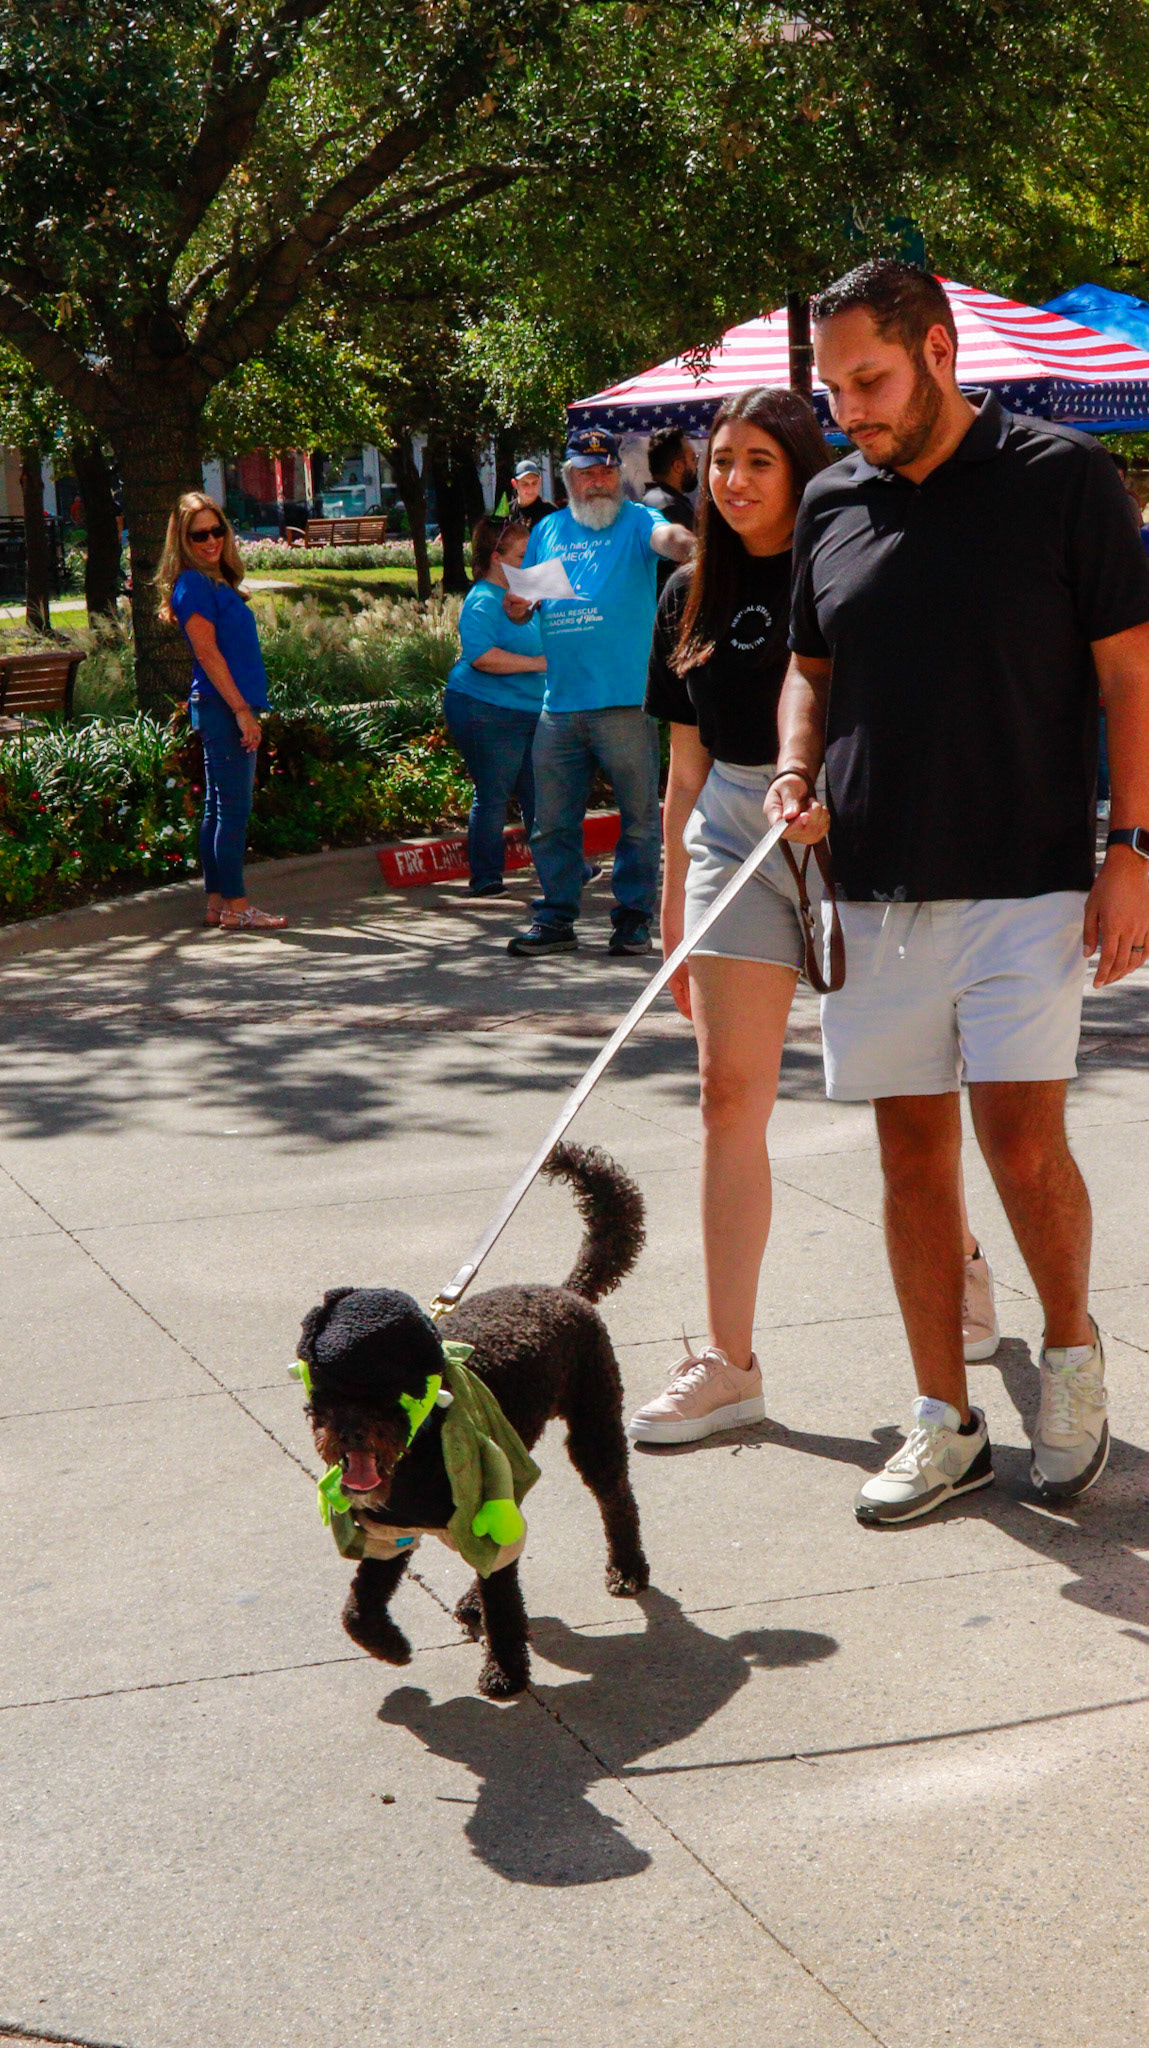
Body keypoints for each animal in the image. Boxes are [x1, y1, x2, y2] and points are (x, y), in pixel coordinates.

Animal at [297, 1142, 650, 1698]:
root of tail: (567, 1291)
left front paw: (504, 1670)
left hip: (592, 1427)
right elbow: (361, 1602)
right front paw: (388, 1644)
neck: (421, 1444)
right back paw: (469, 1600)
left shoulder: (480, 1506)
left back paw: (628, 1567)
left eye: (389, 1390)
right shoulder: (391, 1526)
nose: (349, 1431)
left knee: (617, 1500)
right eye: (325, 1388)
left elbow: (504, 1602)